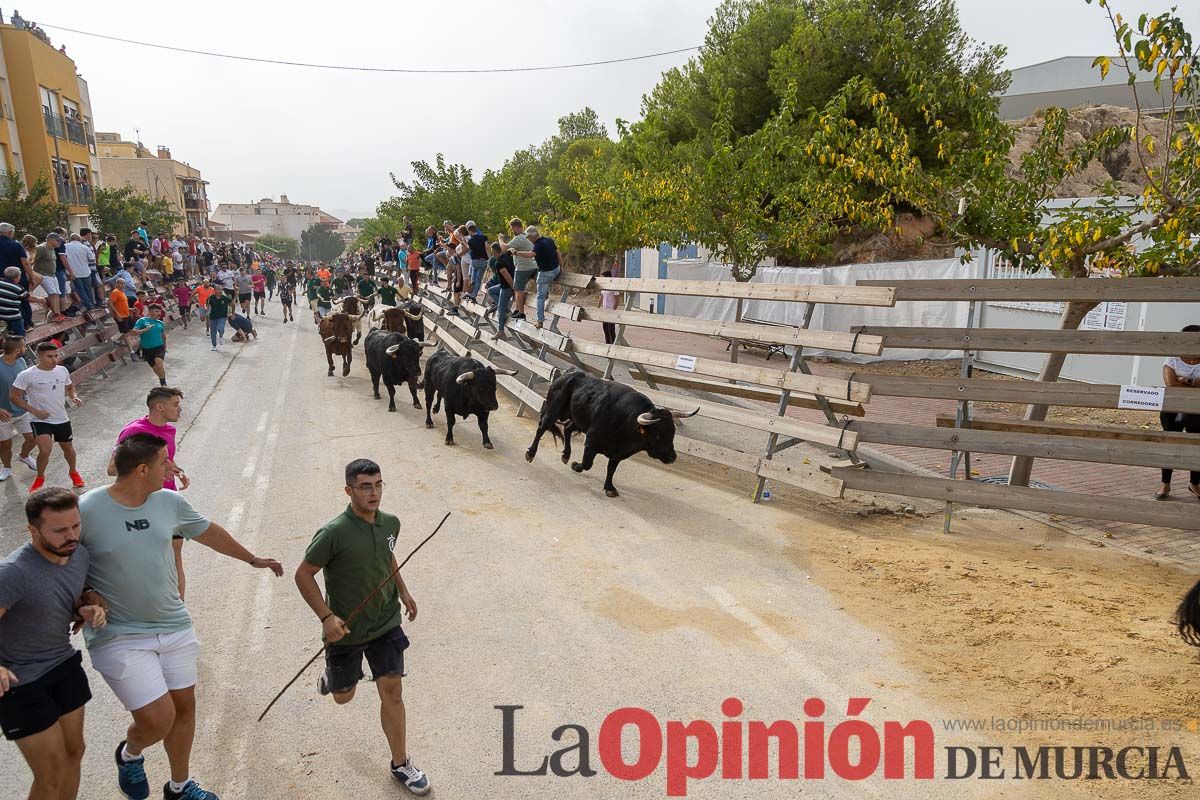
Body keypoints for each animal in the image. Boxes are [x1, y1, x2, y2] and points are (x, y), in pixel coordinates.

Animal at [523, 371, 696, 496]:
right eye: (658, 434)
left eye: (672, 433)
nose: (672, 457)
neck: (627, 422)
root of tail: (568, 373)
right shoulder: (591, 442)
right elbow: (587, 464)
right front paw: (576, 465)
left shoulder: (618, 453)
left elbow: (611, 469)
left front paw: (609, 488)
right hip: (553, 410)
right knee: (541, 428)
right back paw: (531, 453)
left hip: (576, 418)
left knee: (567, 429)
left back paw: (566, 455)